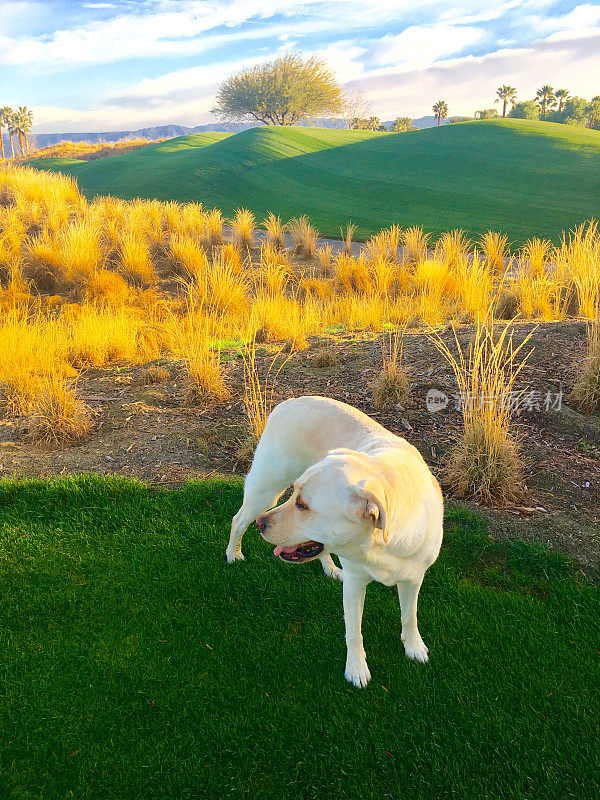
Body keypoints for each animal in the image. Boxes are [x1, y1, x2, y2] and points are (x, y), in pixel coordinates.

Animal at [225, 396, 440, 688]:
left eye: (303, 505)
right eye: (297, 499)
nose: (261, 524)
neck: (381, 544)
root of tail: (289, 401)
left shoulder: (413, 577)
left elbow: (410, 616)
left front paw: (414, 647)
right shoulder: (355, 582)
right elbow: (354, 631)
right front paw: (357, 669)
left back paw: (329, 567)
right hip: (266, 490)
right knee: (238, 520)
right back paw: (233, 554)